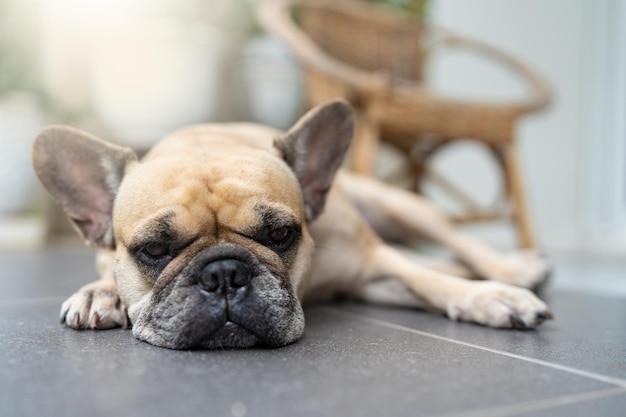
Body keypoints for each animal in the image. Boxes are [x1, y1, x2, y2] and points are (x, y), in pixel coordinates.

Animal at [31, 98, 548, 348]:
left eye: (281, 235)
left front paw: (489, 297)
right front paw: (101, 293)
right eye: (154, 250)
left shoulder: (372, 266)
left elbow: (426, 280)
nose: (224, 273)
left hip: (402, 206)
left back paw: (513, 270)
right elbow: (106, 273)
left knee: (456, 245)